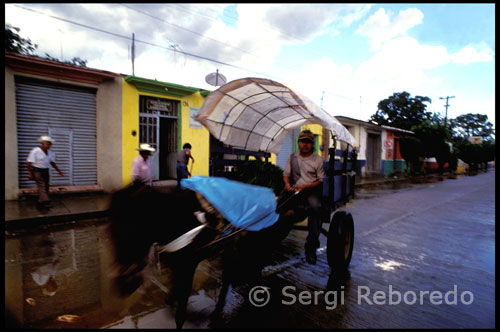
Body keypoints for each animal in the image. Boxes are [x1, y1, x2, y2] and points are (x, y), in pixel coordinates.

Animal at [107, 182, 298, 330]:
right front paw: (171, 300)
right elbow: (174, 290)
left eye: (130, 229)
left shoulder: (189, 265)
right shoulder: (176, 264)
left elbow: (182, 305)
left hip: (253, 249)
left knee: (251, 269)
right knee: (230, 275)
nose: (124, 287)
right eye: (110, 233)